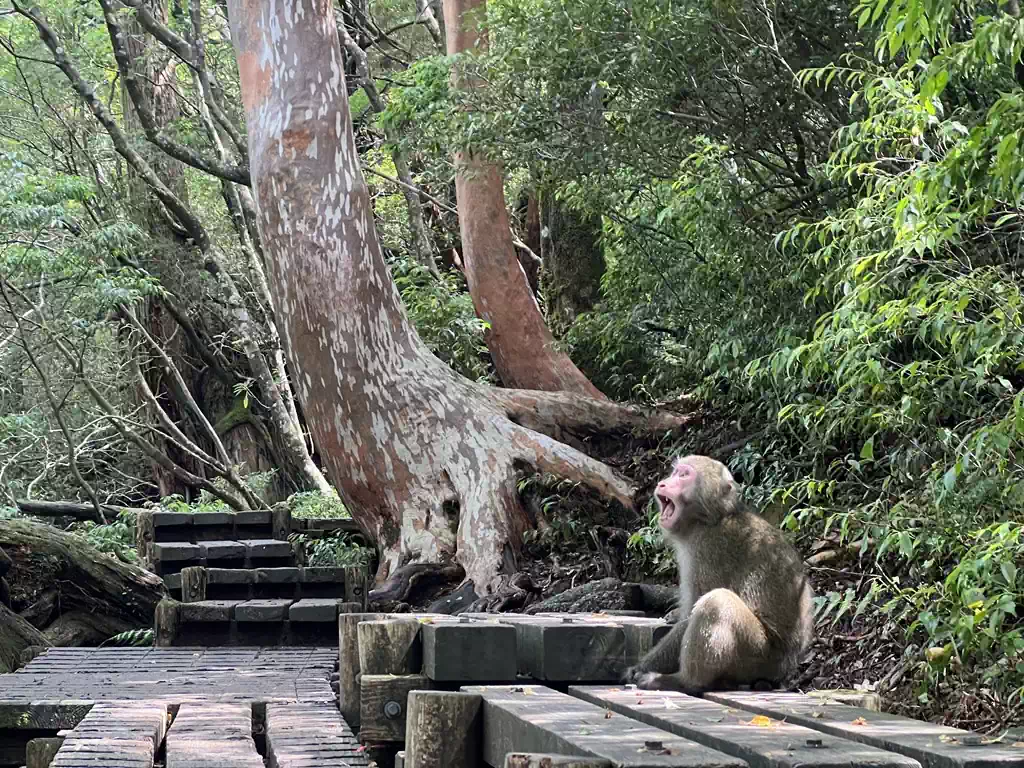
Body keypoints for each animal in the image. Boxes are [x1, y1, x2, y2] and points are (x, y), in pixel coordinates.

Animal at [618, 454, 811, 696]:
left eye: (684, 475)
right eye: (675, 473)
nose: (662, 484)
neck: (707, 520)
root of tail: (786, 667)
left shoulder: (708, 549)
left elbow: (690, 615)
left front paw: (642, 667)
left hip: (758, 656)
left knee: (717, 601)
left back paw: (682, 681)